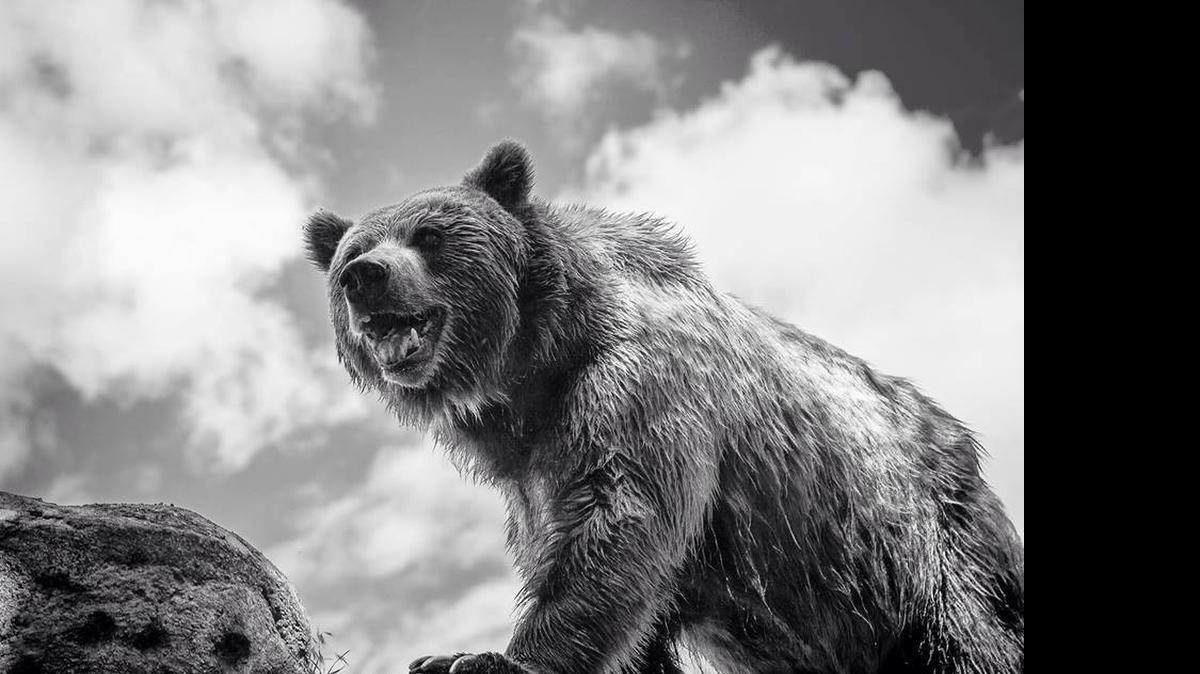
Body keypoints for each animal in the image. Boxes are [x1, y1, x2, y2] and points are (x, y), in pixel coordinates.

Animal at [304, 141, 1024, 674]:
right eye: (351, 252)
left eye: (429, 234)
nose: (365, 276)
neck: (536, 372)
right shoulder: (532, 478)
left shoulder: (642, 389)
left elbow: (620, 520)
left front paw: (480, 658)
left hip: (926, 551)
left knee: (970, 642)